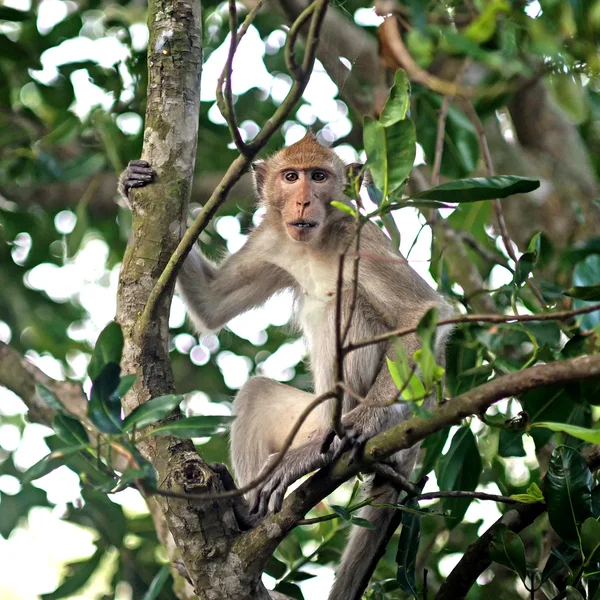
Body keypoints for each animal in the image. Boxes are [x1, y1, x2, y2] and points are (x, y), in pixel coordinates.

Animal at [119, 135, 452, 600]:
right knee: (257, 393)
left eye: (320, 176)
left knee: (344, 301)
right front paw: (133, 183)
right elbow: (212, 302)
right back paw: (245, 514)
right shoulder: (270, 240)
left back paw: (326, 445)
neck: (316, 242)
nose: (303, 200)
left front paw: (360, 425)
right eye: (291, 176)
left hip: (397, 409)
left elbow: (422, 314)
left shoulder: (360, 236)